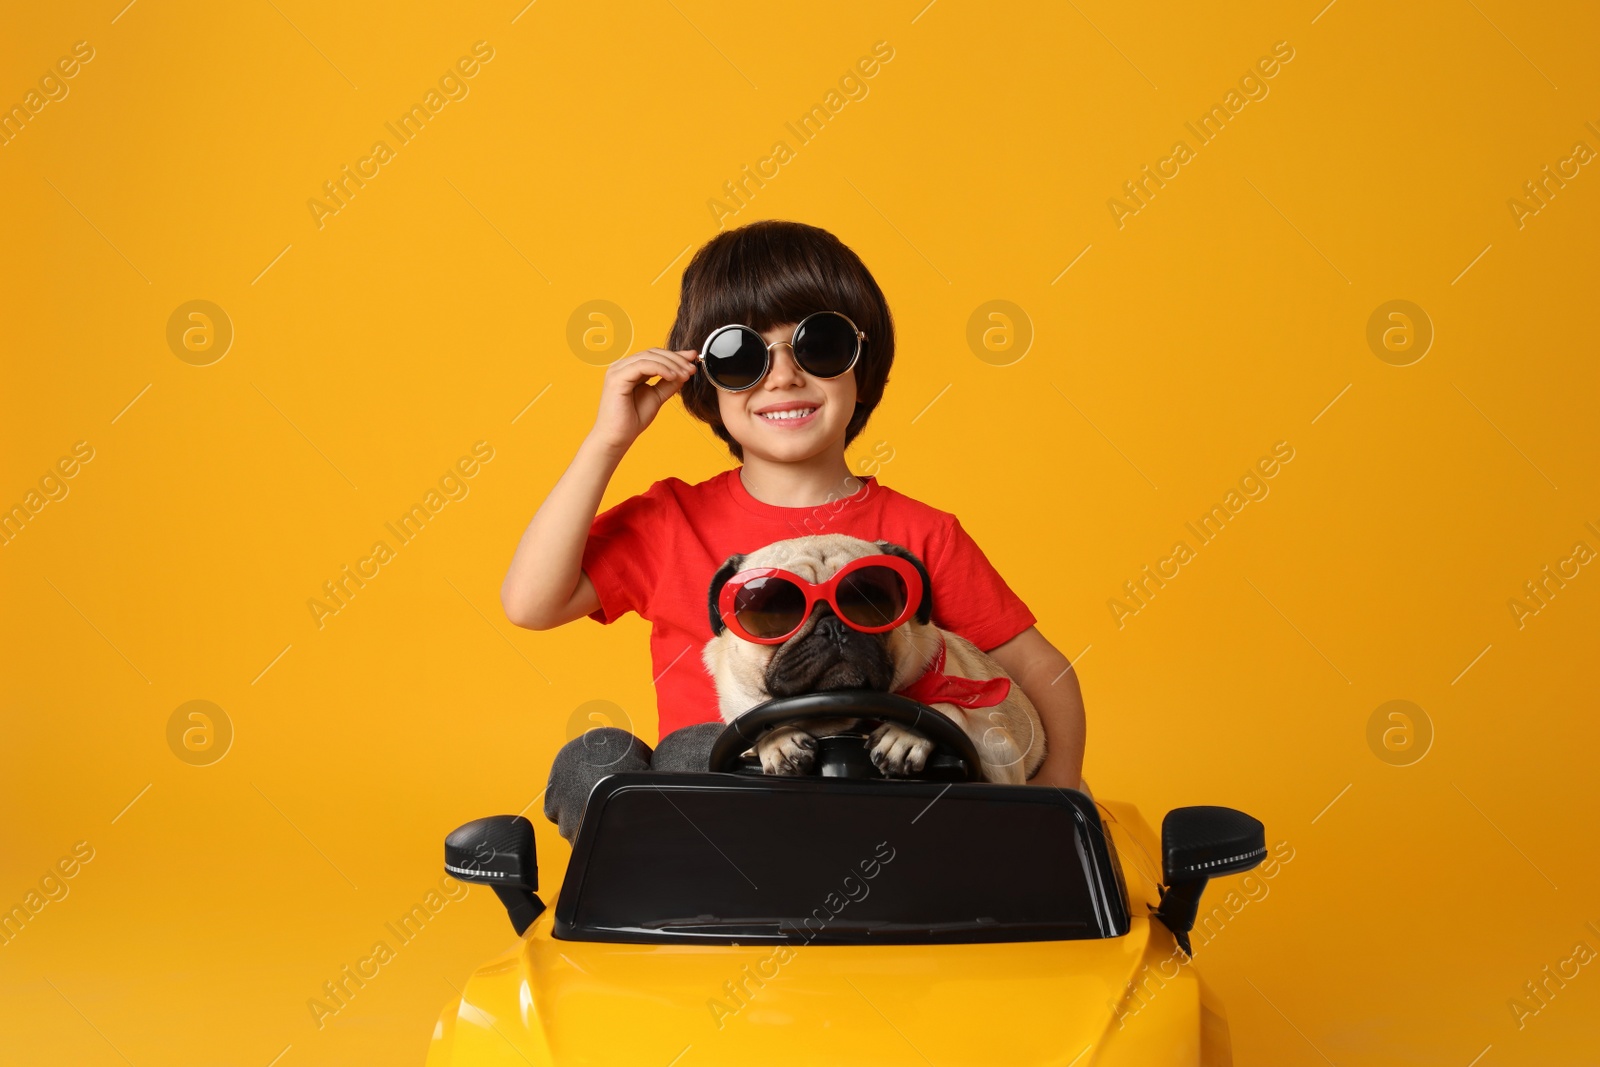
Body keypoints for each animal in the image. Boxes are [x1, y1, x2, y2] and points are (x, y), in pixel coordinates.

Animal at [694, 534, 1043, 783]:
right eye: (774, 611)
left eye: (872, 605)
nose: (833, 627)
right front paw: (776, 740)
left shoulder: (999, 752)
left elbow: (944, 707)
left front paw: (906, 732)